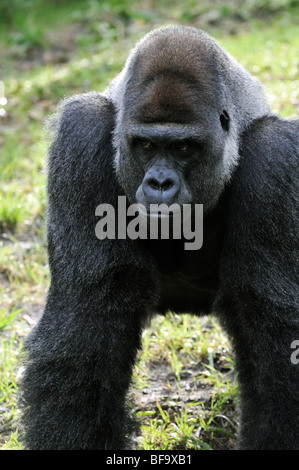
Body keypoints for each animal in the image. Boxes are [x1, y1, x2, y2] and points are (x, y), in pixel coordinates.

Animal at [21, 24, 299, 448]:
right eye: (147, 145)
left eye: (184, 147)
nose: (160, 183)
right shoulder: (81, 135)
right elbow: (86, 314)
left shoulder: (276, 155)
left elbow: (273, 326)